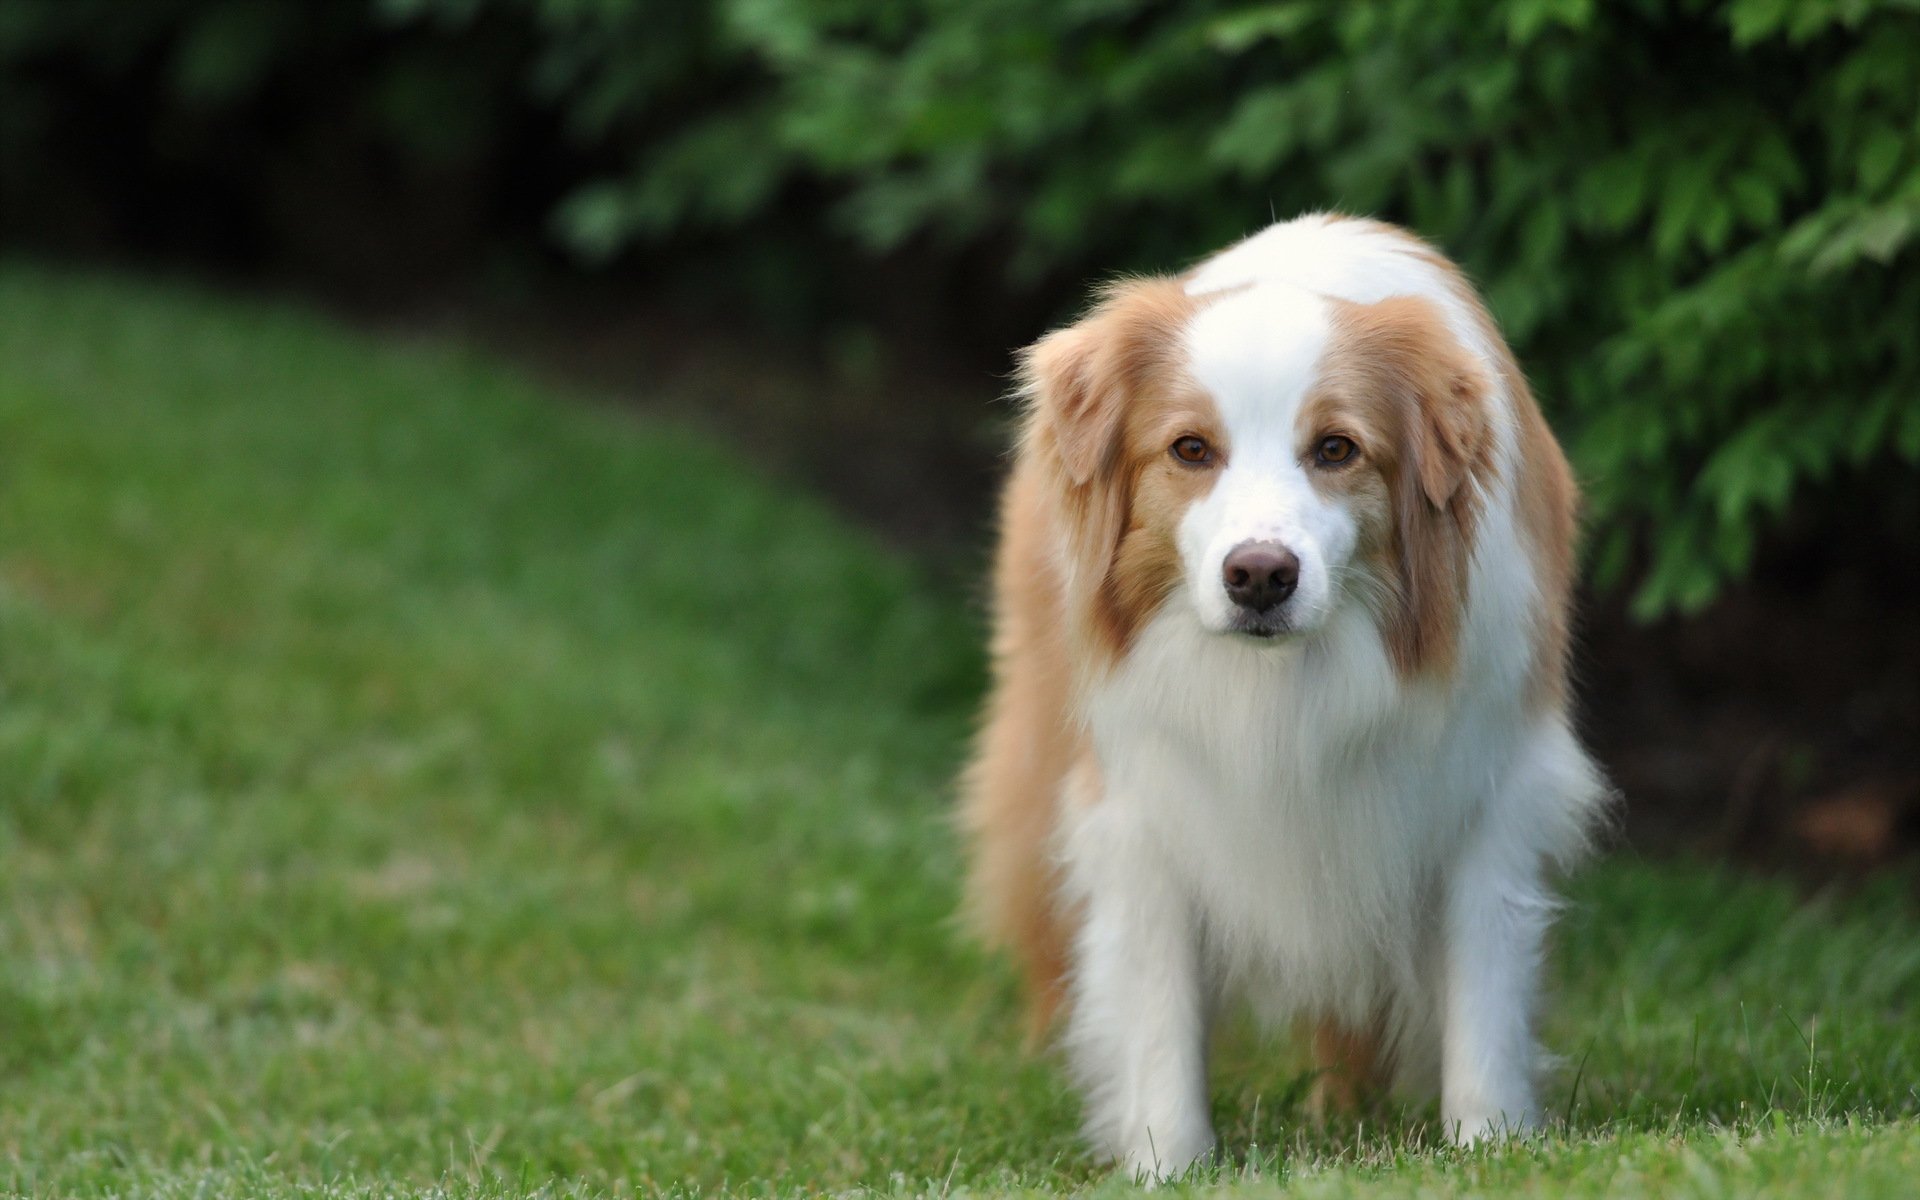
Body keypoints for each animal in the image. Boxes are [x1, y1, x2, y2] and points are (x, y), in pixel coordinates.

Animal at [956, 210, 1605, 1175]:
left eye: (1337, 449)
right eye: (1190, 450)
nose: (1260, 575)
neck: (1286, 686)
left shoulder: (1481, 792)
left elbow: (1482, 998)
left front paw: (1486, 1146)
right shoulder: (1144, 809)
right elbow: (1159, 1010)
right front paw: (1167, 1165)